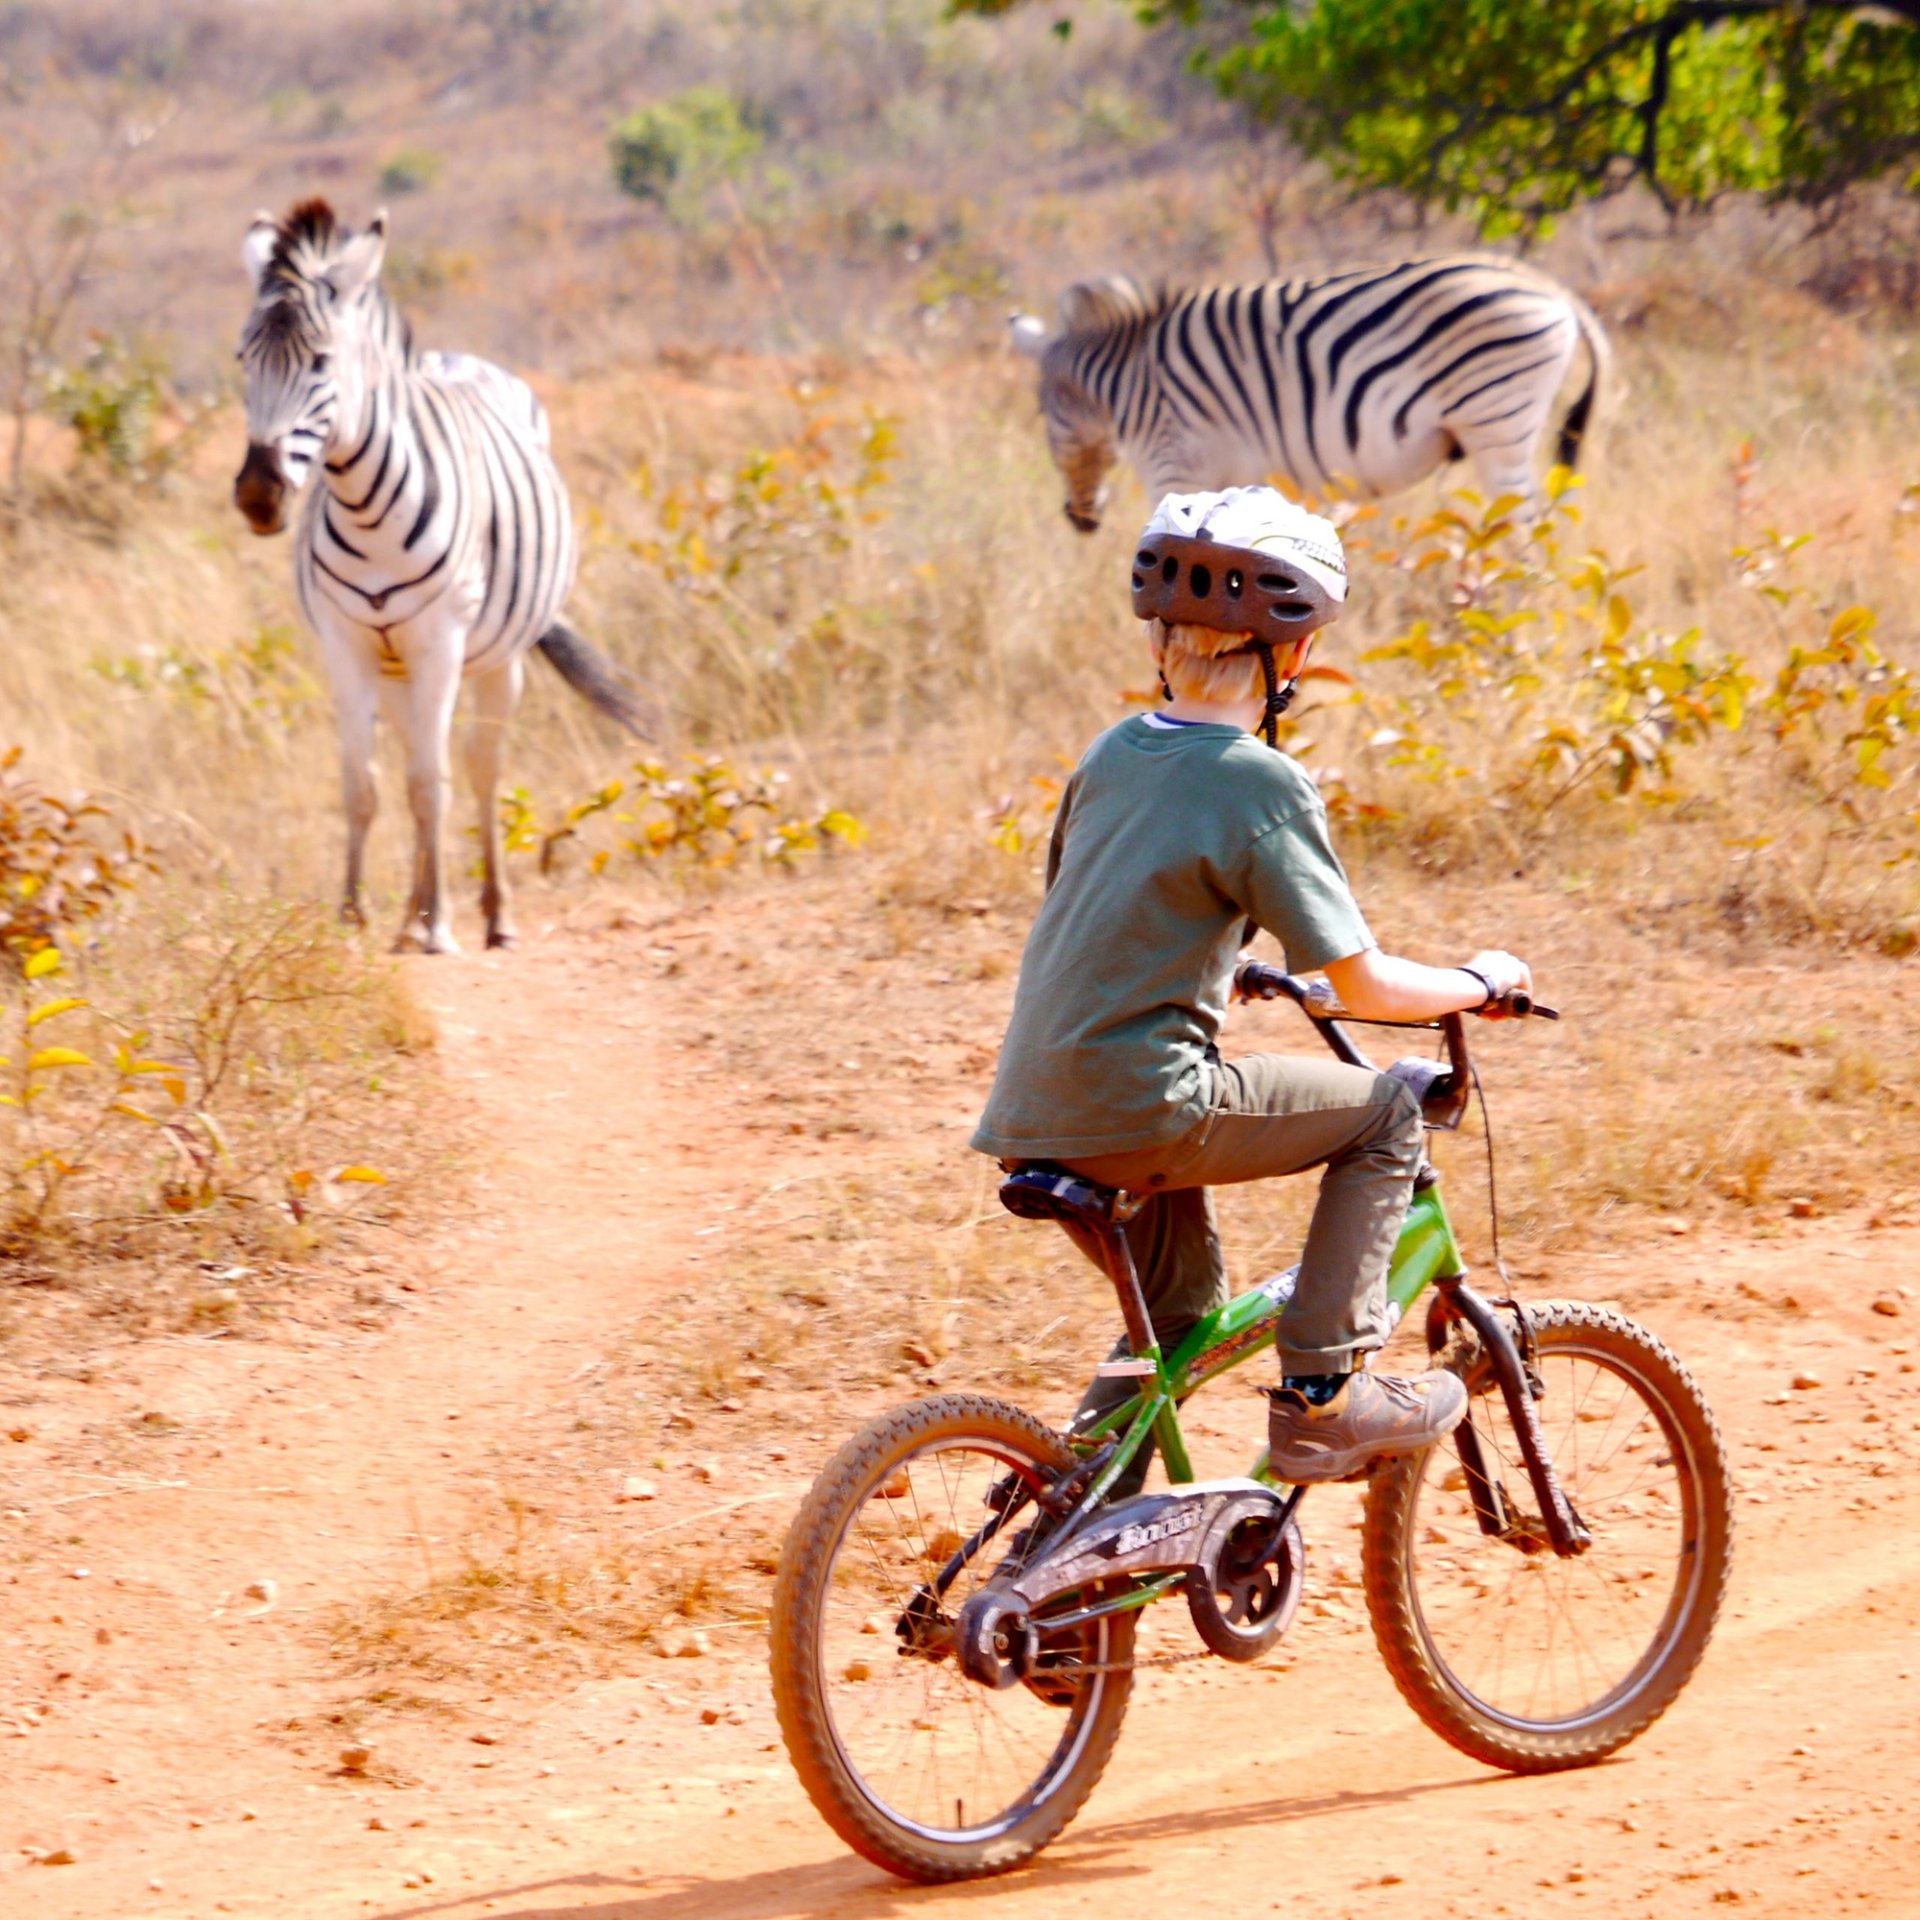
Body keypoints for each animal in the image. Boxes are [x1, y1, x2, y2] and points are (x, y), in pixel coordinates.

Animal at [233, 199, 651, 954]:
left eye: (321, 362)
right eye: (243, 359)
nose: (258, 496)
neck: (364, 505)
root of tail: (455, 359)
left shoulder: (441, 640)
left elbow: (434, 784)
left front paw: (441, 926)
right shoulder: (345, 645)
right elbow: (365, 784)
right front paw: (354, 917)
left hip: (495, 658)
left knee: (480, 770)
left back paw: (491, 916)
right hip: (397, 667)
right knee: (414, 763)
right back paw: (411, 917)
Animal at [1008, 256, 1611, 533]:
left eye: (1039, 413)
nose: (1077, 517)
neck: (1127, 379)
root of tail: (1550, 288)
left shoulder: (1174, 467)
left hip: (1497, 421)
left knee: (1522, 536)